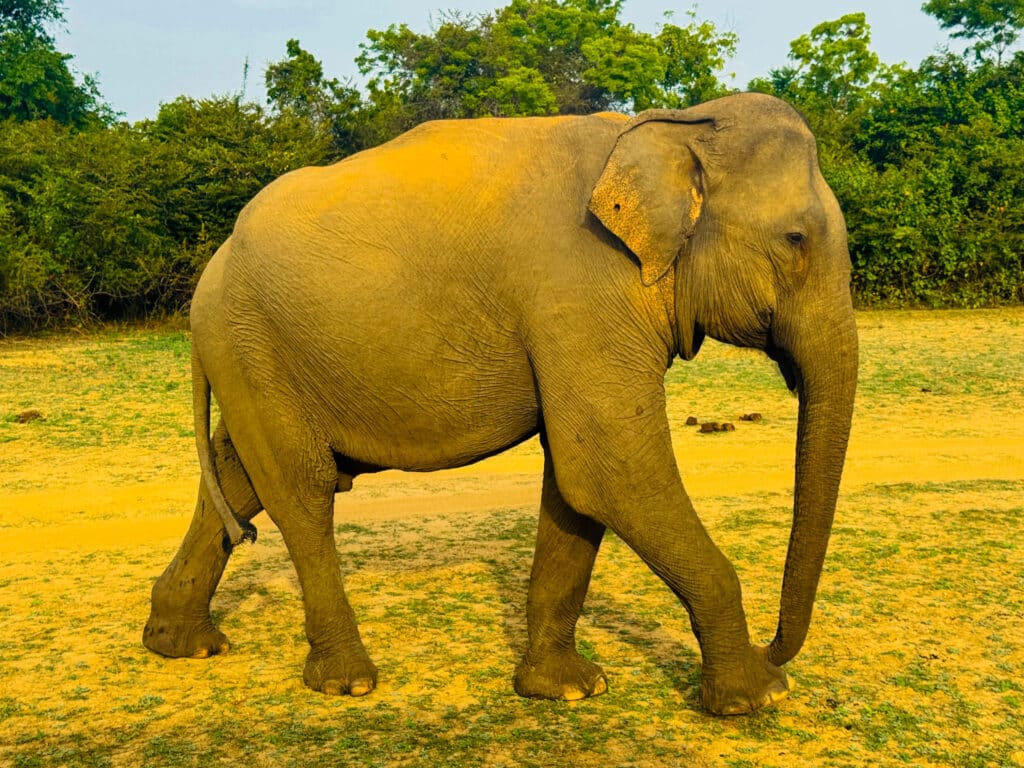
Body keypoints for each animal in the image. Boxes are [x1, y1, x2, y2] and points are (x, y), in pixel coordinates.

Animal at [142, 92, 858, 716]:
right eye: (795, 239)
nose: (776, 649)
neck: (673, 126)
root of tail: (212, 269)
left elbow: (577, 486)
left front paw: (567, 691)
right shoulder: (582, 286)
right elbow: (611, 469)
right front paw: (758, 699)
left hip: (252, 352)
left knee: (237, 479)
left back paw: (181, 644)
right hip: (252, 340)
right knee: (304, 489)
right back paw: (348, 682)